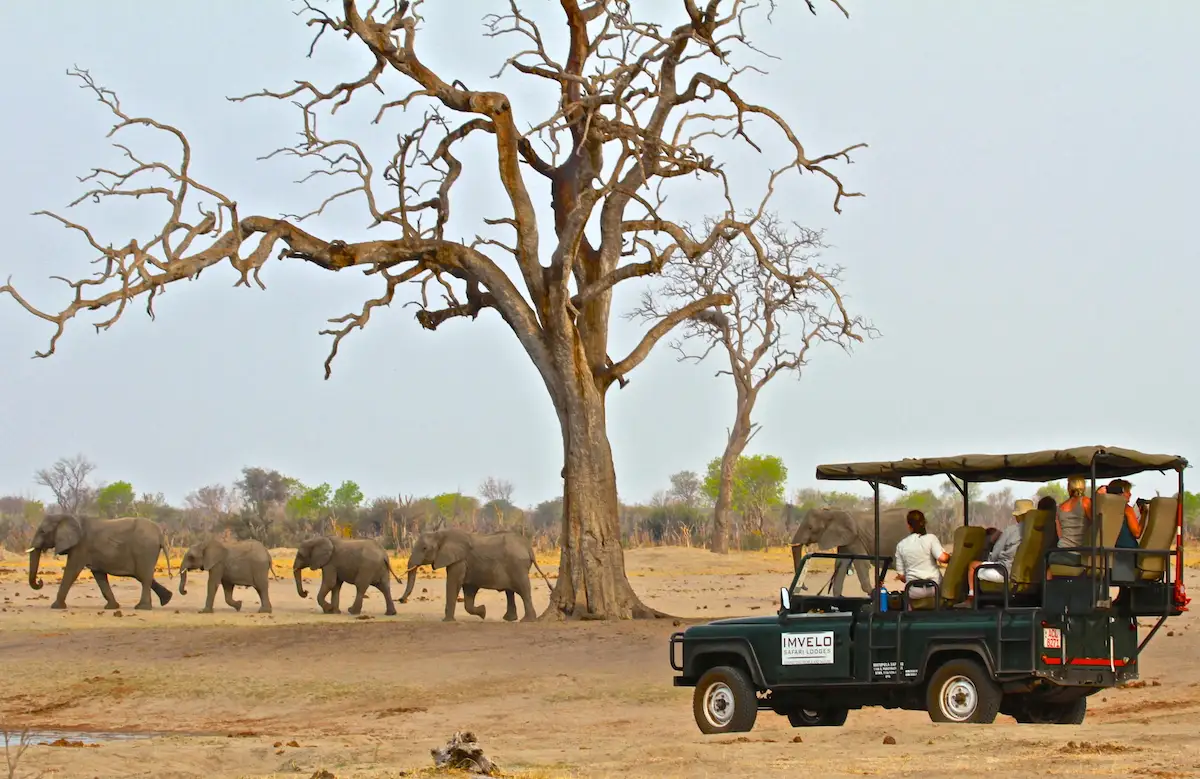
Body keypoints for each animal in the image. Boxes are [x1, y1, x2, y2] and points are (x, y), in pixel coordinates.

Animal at [24, 513, 174, 609]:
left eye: (43, 532)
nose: (40, 581)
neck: (68, 516)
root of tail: (160, 534)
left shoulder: (81, 547)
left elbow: (71, 571)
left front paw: (56, 607)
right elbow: (99, 576)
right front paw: (112, 607)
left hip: (144, 549)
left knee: (144, 576)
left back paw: (142, 608)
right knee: (142, 575)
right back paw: (166, 600)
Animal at [400, 525, 554, 624]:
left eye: (424, 548)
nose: (401, 600)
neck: (439, 534)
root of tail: (529, 548)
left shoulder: (459, 560)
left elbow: (453, 583)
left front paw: (447, 621)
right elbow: (468, 590)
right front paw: (483, 612)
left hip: (518, 566)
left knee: (523, 590)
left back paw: (527, 621)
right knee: (510, 592)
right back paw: (509, 619)